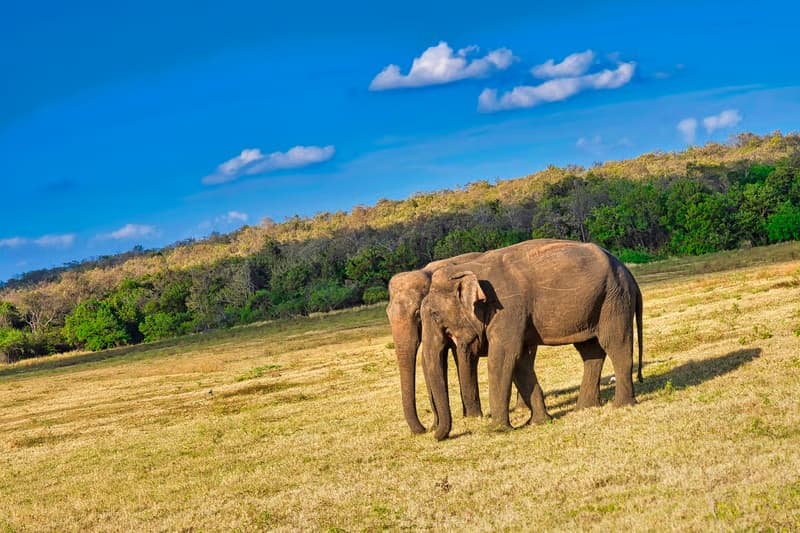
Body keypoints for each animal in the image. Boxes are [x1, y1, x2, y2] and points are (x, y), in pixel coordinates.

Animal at [420, 239, 643, 440]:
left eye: (435, 315)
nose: (434, 435)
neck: (468, 268)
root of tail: (629, 273)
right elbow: (519, 362)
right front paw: (538, 422)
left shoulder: (508, 310)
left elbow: (501, 359)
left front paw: (496, 430)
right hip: (595, 305)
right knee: (590, 351)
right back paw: (584, 407)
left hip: (615, 300)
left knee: (616, 343)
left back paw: (621, 405)